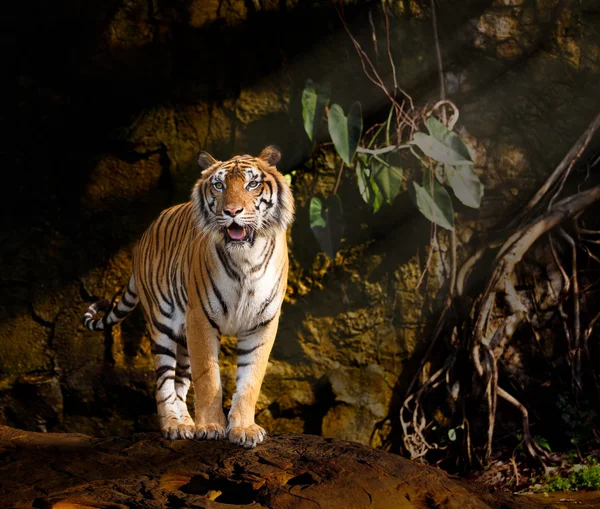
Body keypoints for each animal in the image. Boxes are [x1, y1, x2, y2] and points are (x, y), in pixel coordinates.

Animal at [80, 145, 296, 446]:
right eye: (219, 185)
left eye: (252, 184)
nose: (232, 211)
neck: (246, 258)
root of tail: (145, 235)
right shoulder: (201, 318)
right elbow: (207, 377)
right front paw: (210, 426)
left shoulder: (262, 323)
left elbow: (250, 378)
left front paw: (244, 429)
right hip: (162, 325)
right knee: (164, 383)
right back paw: (175, 425)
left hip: (182, 336)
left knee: (180, 383)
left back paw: (185, 423)